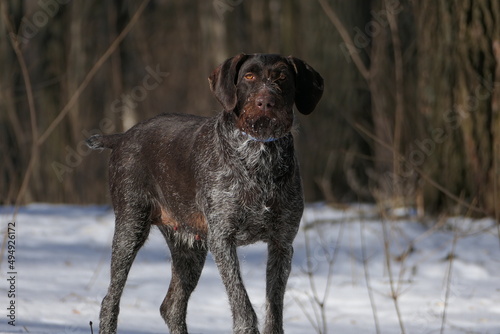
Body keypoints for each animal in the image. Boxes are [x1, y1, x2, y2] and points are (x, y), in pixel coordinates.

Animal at [87, 53, 324, 332]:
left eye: (282, 77)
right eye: (249, 76)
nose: (266, 101)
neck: (260, 156)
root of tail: (123, 136)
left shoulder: (282, 243)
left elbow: (274, 311)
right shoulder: (222, 239)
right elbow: (243, 307)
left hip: (189, 248)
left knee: (172, 307)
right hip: (130, 228)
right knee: (110, 301)